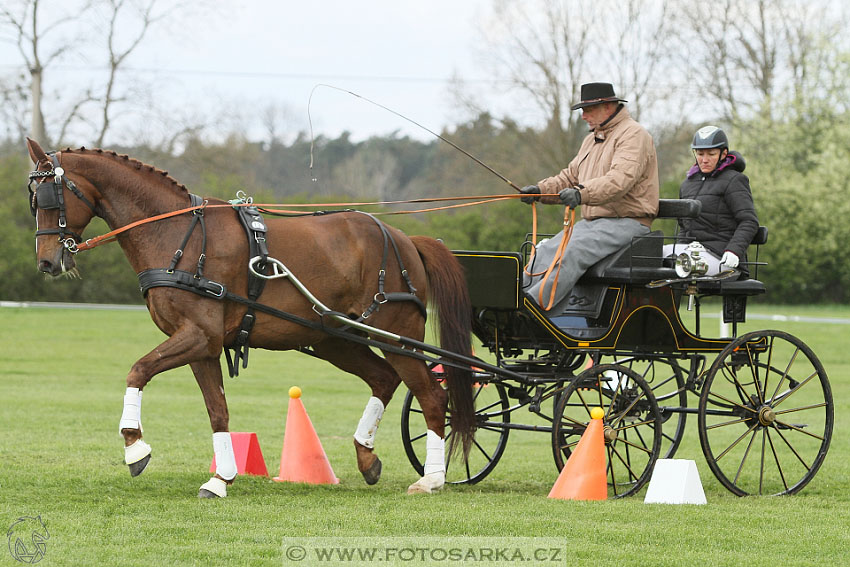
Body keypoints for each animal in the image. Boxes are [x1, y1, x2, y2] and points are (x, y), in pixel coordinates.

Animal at [24, 140, 476, 500]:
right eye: (34, 199)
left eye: (48, 197)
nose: (47, 262)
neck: (178, 234)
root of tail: (404, 239)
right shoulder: (202, 347)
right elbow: (217, 411)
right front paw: (221, 478)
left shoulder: (198, 336)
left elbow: (138, 370)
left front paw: (135, 447)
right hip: (336, 338)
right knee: (384, 379)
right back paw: (367, 458)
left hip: (397, 335)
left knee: (432, 396)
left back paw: (432, 479)